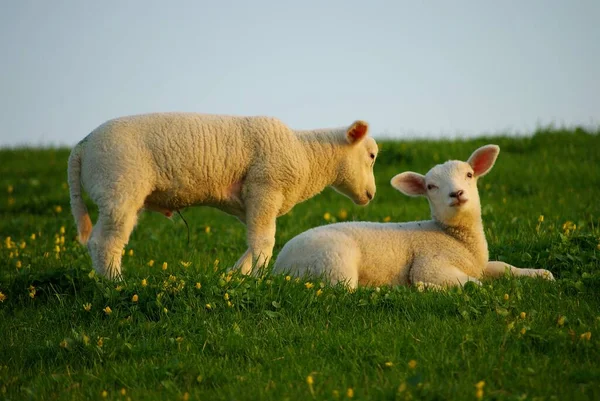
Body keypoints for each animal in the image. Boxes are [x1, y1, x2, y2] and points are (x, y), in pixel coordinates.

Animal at [69, 111, 380, 278]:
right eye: (372, 155)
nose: (372, 195)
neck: (306, 154)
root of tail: (82, 145)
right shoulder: (265, 188)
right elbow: (264, 242)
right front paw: (256, 278)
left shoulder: (248, 203)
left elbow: (254, 241)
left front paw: (237, 274)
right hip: (118, 185)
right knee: (104, 242)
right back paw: (114, 283)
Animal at [272, 144, 552, 288]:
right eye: (431, 186)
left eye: (470, 175)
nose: (457, 193)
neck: (456, 238)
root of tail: (279, 266)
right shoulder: (430, 264)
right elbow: (475, 284)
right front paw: (426, 286)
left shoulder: (480, 265)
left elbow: (503, 267)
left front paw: (541, 274)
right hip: (334, 260)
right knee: (344, 290)